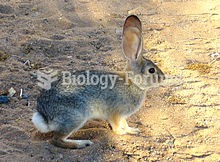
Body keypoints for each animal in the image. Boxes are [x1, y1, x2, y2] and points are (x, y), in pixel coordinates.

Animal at [31, 14, 164, 149]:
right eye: (151, 70)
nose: (163, 78)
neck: (133, 83)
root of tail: (45, 116)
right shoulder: (115, 113)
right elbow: (116, 127)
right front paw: (122, 133)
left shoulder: (122, 116)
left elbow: (125, 123)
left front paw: (132, 130)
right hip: (76, 116)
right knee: (56, 140)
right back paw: (82, 143)